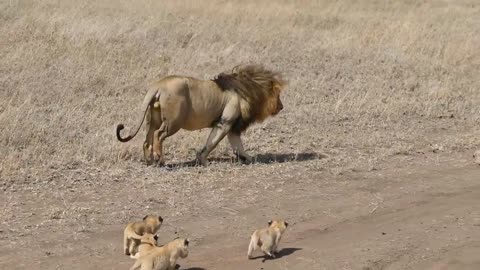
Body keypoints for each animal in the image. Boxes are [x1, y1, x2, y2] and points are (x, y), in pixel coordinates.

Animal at [115, 64, 284, 166]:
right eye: (278, 95)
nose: (282, 107)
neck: (249, 89)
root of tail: (158, 85)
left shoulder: (232, 126)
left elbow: (238, 146)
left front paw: (248, 158)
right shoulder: (225, 122)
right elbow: (212, 142)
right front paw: (203, 160)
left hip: (152, 119)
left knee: (147, 140)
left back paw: (149, 161)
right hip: (173, 122)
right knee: (159, 134)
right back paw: (159, 158)